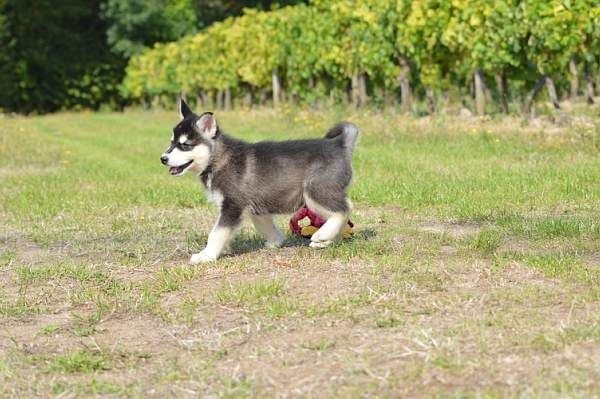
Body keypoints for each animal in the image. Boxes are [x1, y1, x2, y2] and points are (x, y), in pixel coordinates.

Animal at [159, 99, 358, 266]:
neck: (218, 159)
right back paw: (327, 240)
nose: (163, 158)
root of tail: (338, 144)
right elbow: (264, 225)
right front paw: (276, 242)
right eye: (172, 142)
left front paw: (206, 255)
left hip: (315, 191)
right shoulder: (255, 205)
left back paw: (322, 235)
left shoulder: (232, 206)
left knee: (345, 208)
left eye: (185, 145)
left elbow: (216, 233)